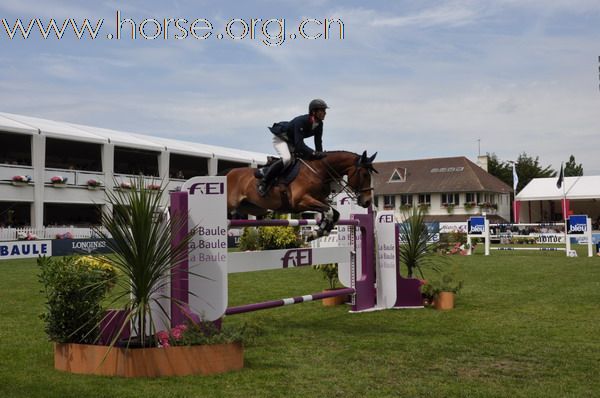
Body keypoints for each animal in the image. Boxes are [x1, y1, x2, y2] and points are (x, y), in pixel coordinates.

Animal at [227, 151, 378, 238]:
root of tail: (228, 174)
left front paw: (318, 232)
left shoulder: (320, 200)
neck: (318, 171)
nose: (367, 202)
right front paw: (319, 232)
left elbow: (334, 214)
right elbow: (329, 211)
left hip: (253, 208)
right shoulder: (302, 201)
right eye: (365, 174)